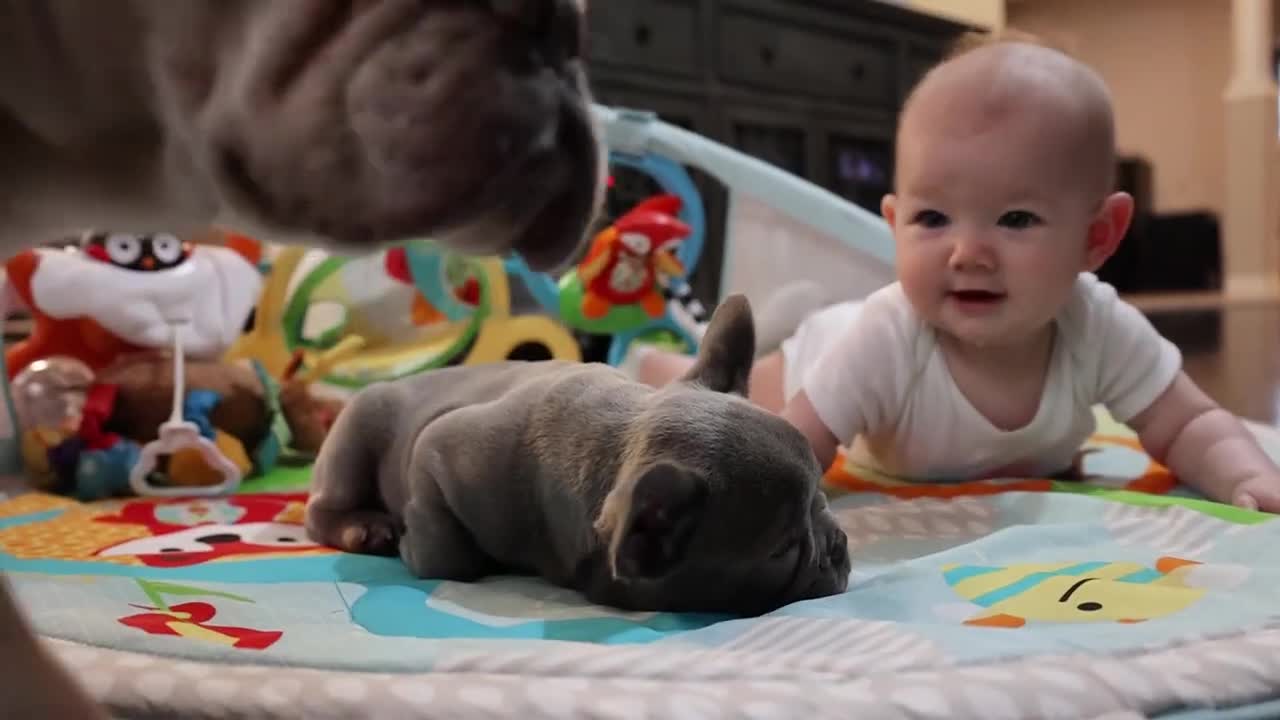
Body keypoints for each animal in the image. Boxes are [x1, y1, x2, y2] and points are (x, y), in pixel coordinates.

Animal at [304, 292, 855, 609]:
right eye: (782, 551)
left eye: (822, 500)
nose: (838, 544)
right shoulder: (436, 449)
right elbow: (448, 555)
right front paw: (413, 543)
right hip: (358, 429)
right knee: (319, 510)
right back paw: (363, 527)